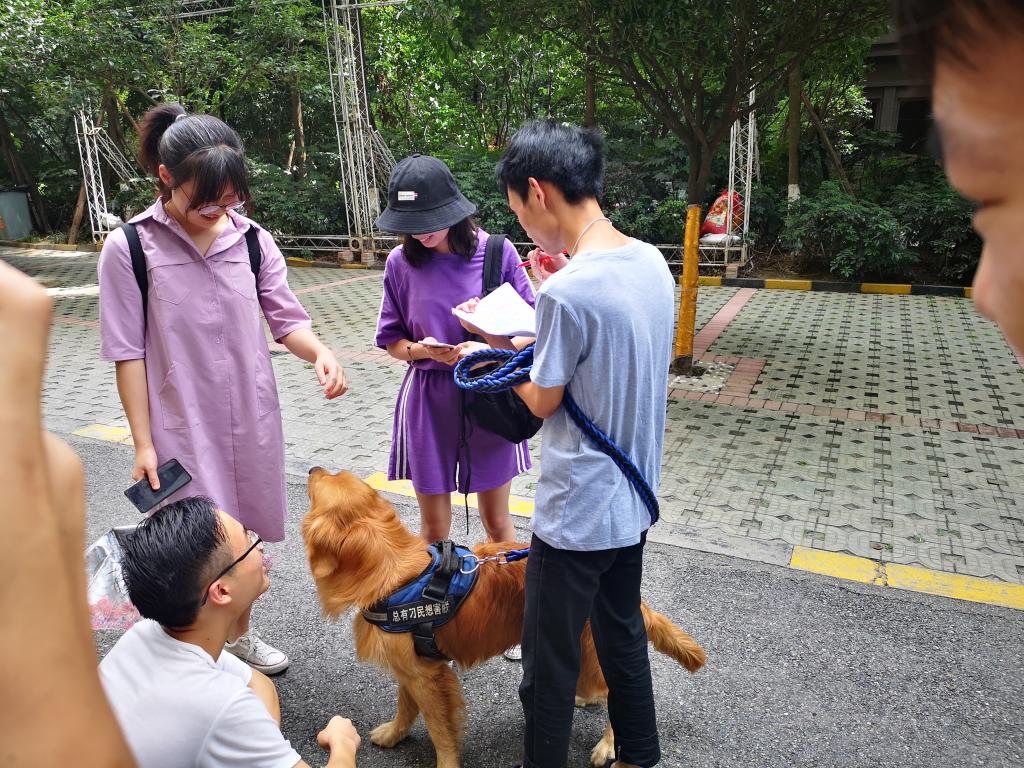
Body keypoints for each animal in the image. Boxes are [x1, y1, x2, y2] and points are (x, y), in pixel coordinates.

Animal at [303, 468, 706, 768]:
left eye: (321, 482)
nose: (312, 468)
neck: (397, 574)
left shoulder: (429, 677)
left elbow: (439, 728)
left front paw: (445, 761)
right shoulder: (414, 664)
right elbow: (405, 704)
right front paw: (394, 733)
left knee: (613, 692)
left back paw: (609, 745)